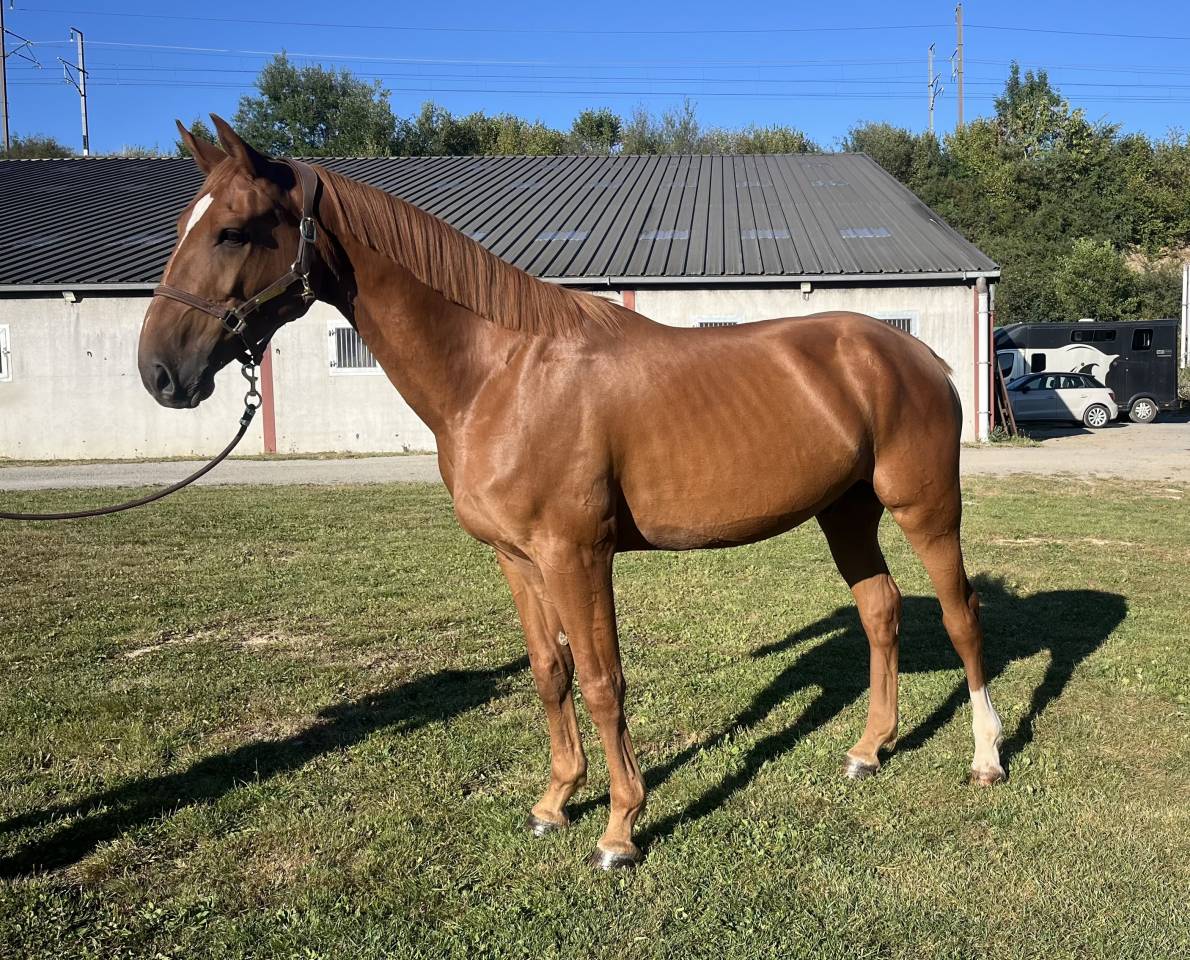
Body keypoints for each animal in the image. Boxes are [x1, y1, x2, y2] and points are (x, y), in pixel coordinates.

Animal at [138, 116, 1006, 870]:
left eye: (233, 230)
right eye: (185, 223)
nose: (159, 373)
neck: (500, 373)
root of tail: (913, 353)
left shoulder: (576, 555)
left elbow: (600, 678)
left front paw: (619, 828)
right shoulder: (517, 558)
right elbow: (549, 672)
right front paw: (556, 802)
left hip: (925, 508)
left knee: (961, 616)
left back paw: (987, 756)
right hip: (846, 511)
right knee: (881, 611)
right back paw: (869, 750)